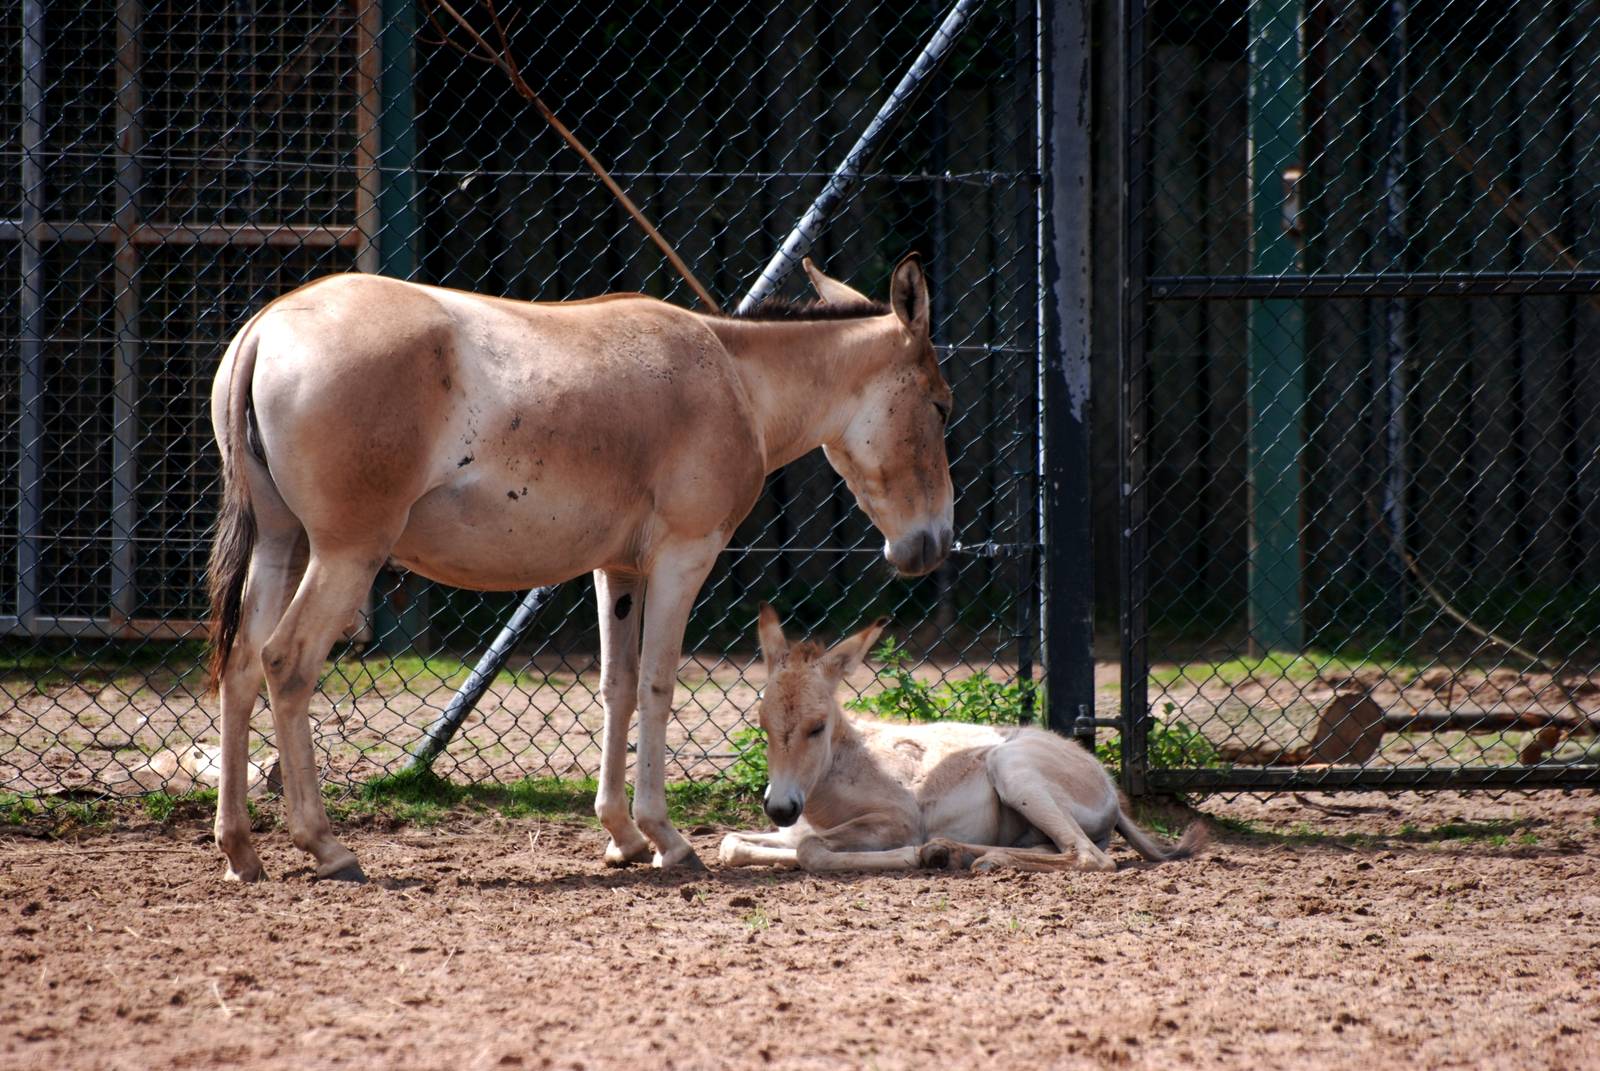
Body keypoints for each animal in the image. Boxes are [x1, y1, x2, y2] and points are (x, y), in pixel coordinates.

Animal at [205, 256, 953, 882]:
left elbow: (616, 687)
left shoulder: (617, 569)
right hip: (346, 552)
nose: (932, 543)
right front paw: (667, 839)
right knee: (287, 663)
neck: (734, 376)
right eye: (941, 403)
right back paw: (326, 846)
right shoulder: (686, 553)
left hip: (282, 543)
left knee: (240, 667)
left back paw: (240, 850)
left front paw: (622, 836)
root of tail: (267, 327)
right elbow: (658, 684)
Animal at [718, 606, 1205, 873]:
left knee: (1089, 857)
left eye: (817, 726)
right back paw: (951, 853)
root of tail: (1107, 786)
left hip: (1011, 768)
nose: (780, 807)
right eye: (762, 724)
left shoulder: (896, 821)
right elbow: (733, 844)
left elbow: (811, 849)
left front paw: (910, 856)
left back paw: (951, 855)